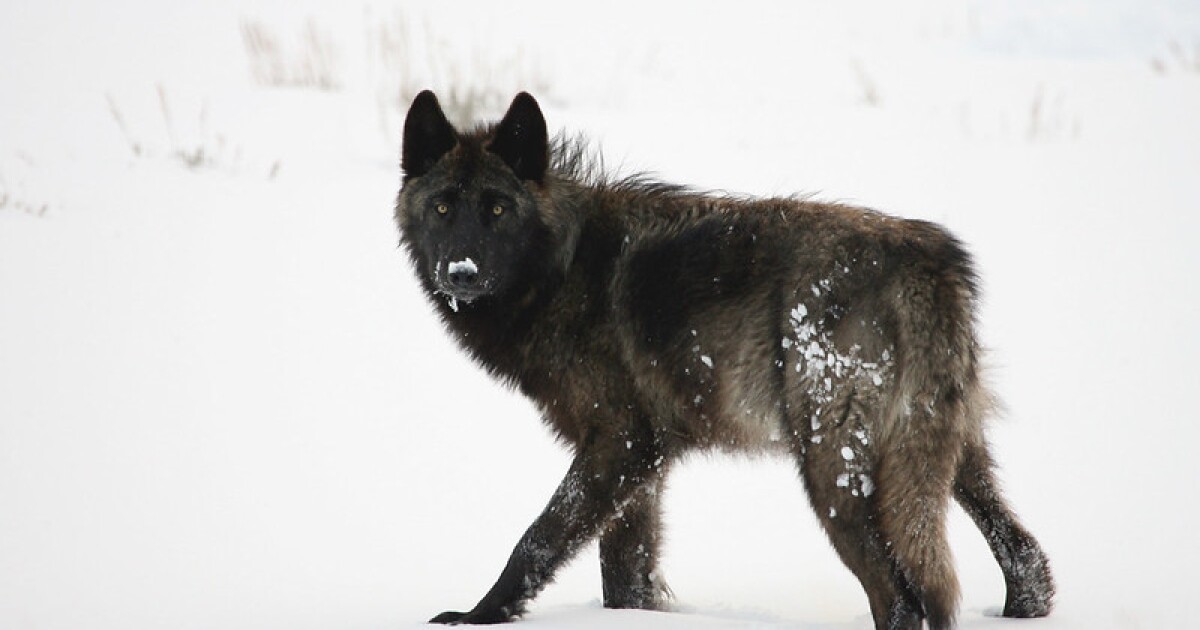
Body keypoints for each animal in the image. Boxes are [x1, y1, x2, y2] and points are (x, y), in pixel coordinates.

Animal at [394, 90, 1054, 629]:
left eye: (498, 209)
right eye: (443, 208)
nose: (461, 272)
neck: (562, 266)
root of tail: (927, 261)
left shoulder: (620, 443)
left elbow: (538, 539)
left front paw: (476, 616)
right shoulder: (644, 464)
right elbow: (625, 577)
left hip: (834, 475)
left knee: (901, 599)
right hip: (947, 457)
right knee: (1027, 560)